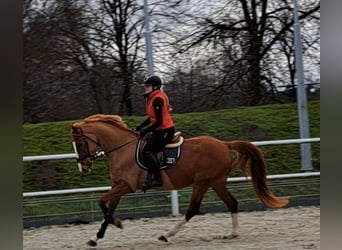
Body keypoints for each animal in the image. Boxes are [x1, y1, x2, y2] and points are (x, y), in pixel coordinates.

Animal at [70, 114, 288, 247]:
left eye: (79, 143)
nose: (83, 168)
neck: (122, 148)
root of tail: (224, 144)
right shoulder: (118, 185)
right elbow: (107, 210)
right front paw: (95, 238)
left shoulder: (126, 186)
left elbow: (102, 203)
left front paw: (117, 223)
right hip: (216, 182)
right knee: (232, 203)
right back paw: (231, 234)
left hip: (202, 183)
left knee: (192, 210)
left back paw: (166, 235)